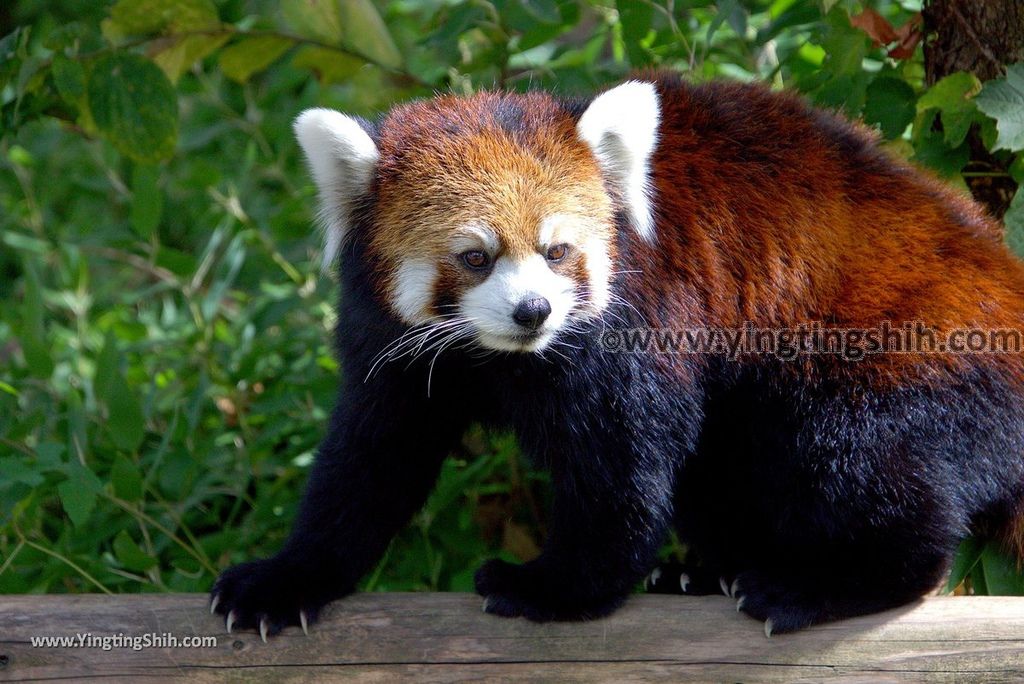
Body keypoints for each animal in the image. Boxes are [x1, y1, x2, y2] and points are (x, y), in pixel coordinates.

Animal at [207, 72, 1024, 638]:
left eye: (558, 251)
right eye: (474, 257)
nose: (533, 311)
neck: (498, 354)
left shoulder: (638, 324)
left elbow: (621, 466)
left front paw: (555, 588)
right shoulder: (396, 351)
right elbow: (371, 461)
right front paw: (287, 577)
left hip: (900, 355)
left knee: (856, 460)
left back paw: (821, 583)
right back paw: (711, 570)